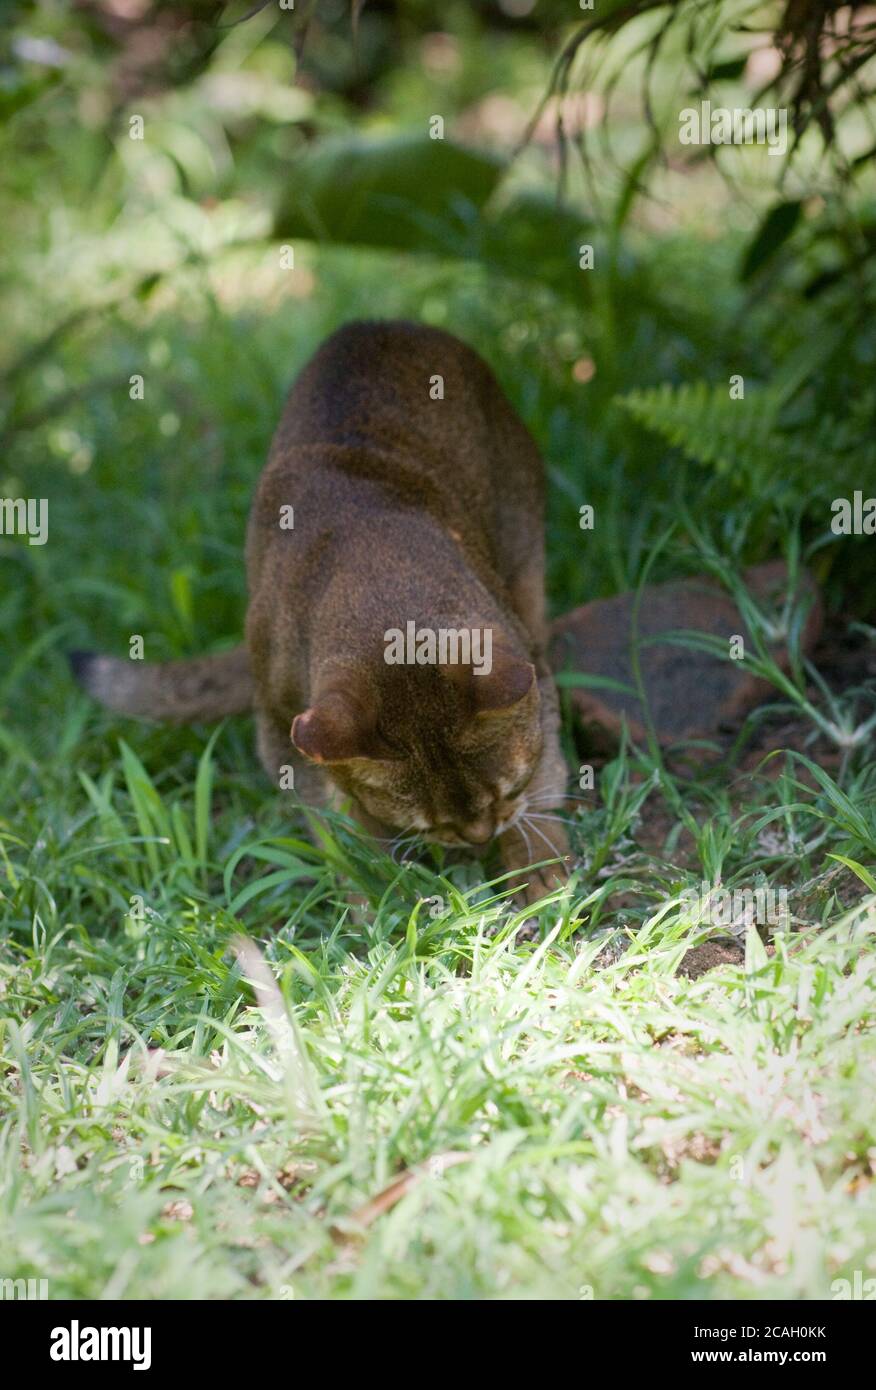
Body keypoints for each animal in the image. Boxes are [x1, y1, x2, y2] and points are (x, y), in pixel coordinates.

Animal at [71, 326, 572, 911]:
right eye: (428, 824)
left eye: (507, 790)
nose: (477, 836)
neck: (373, 573)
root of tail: (382, 321)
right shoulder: (280, 726)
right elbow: (337, 827)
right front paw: (375, 894)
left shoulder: (524, 658)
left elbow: (546, 772)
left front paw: (539, 864)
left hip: (524, 549)